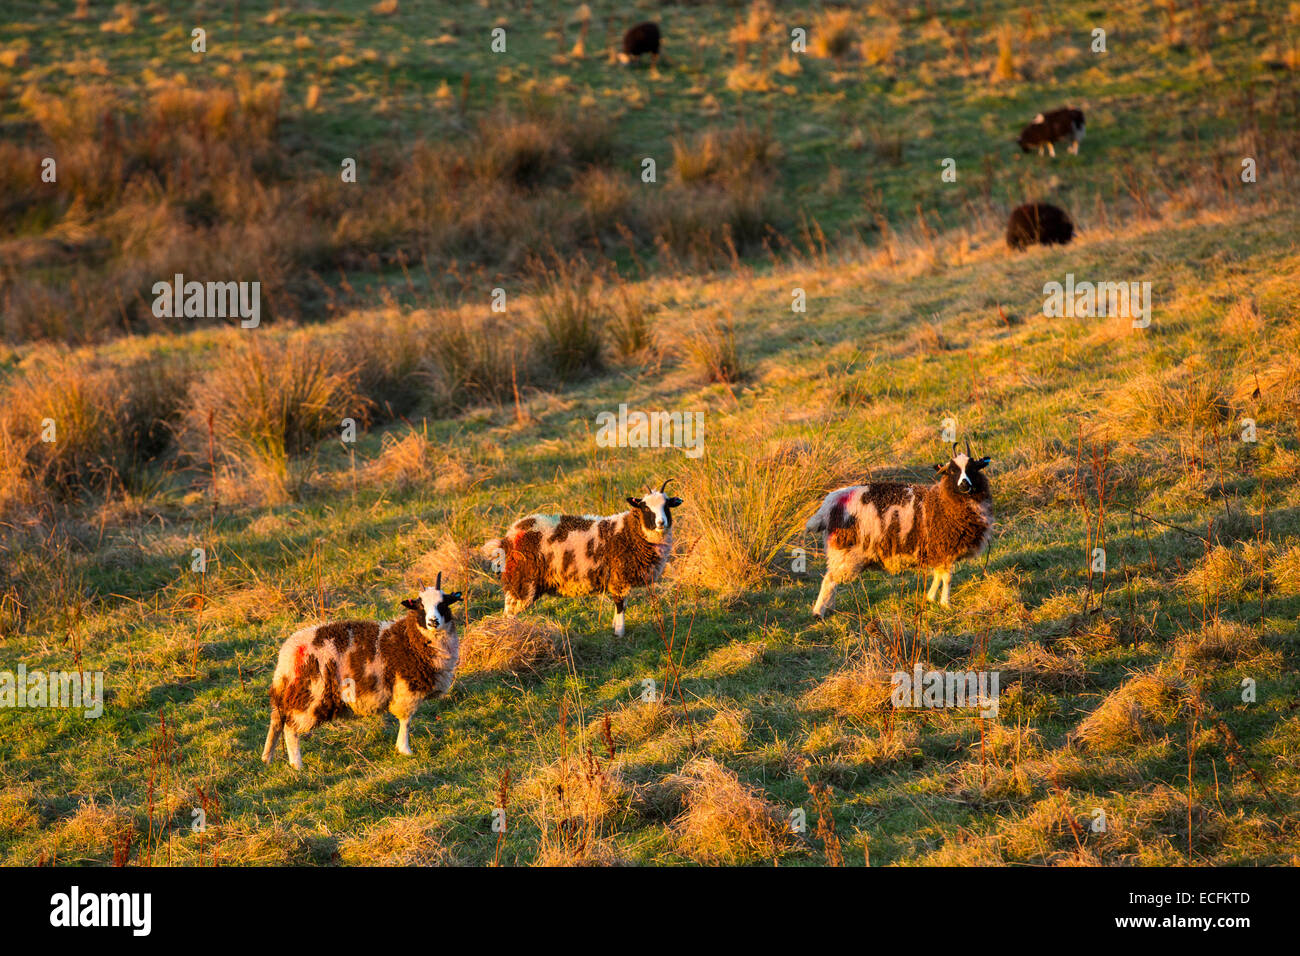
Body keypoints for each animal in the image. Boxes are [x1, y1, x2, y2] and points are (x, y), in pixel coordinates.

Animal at [258, 574, 462, 770]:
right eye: (420, 606)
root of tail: (286, 655)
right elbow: (406, 720)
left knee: (276, 723)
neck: (410, 639)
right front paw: (405, 750)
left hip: (288, 695)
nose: (433, 621)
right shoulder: (406, 690)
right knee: (290, 729)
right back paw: (297, 765)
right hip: (309, 697)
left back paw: (267, 758)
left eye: (443, 604)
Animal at [478, 478, 681, 634]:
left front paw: (615, 627)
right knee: (510, 611)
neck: (630, 532)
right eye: (645, 508)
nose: (661, 523)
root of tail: (508, 538)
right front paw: (619, 632)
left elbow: (621, 605)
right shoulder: (619, 578)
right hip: (521, 580)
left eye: (667, 506)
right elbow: (620, 605)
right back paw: (509, 633)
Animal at [800, 442, 993, 621]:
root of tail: (828, 504)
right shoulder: (944, 548)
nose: (964, 485)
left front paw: (930, 598)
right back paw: (818, 612)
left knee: (832, 581)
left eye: (973, 469)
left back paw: (829, 608)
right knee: (829, 580)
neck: (941, 501)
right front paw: (946, 604)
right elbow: (947, 578)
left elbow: (938, 576)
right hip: (845, 552)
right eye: (952, 471)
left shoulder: (939, 551)